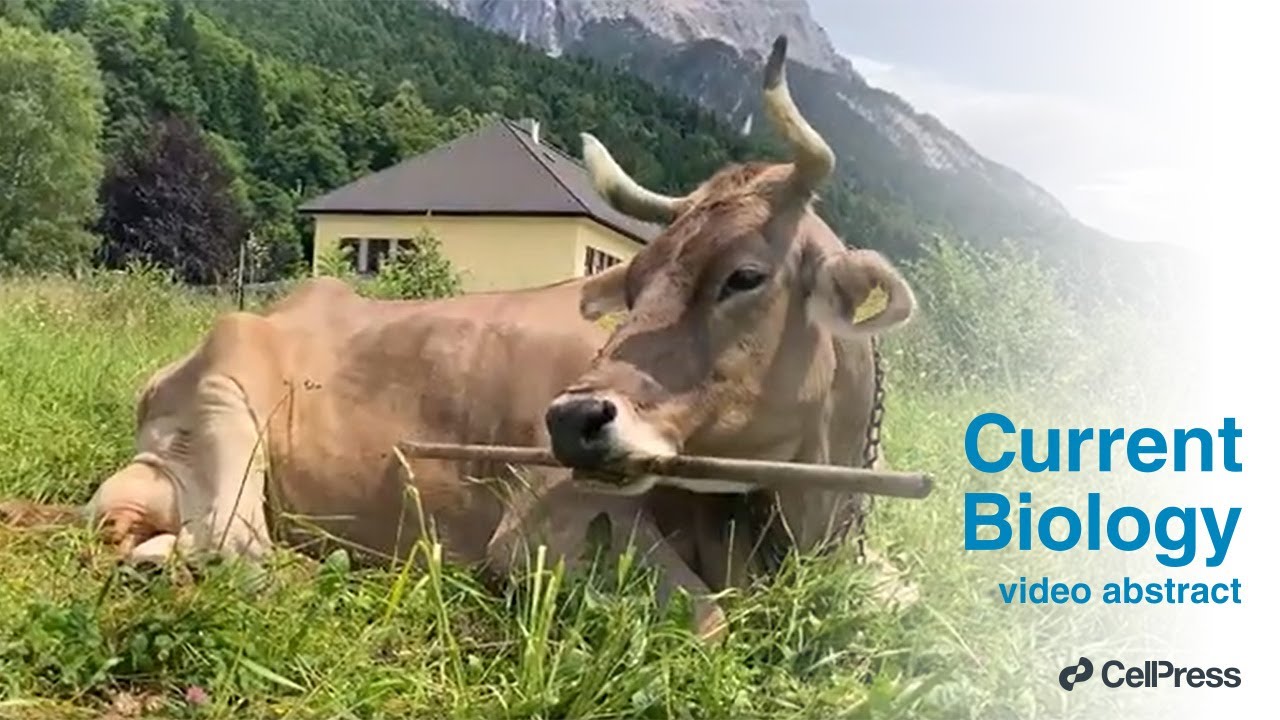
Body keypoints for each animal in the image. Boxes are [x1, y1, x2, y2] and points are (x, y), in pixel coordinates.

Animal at [1, 34, 917, 640]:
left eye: (745, 276)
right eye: (637, 282)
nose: (571, 419)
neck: (800, 518)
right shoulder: (543, 530)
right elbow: (710, 622)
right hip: (227, 405)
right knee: (240, 549)